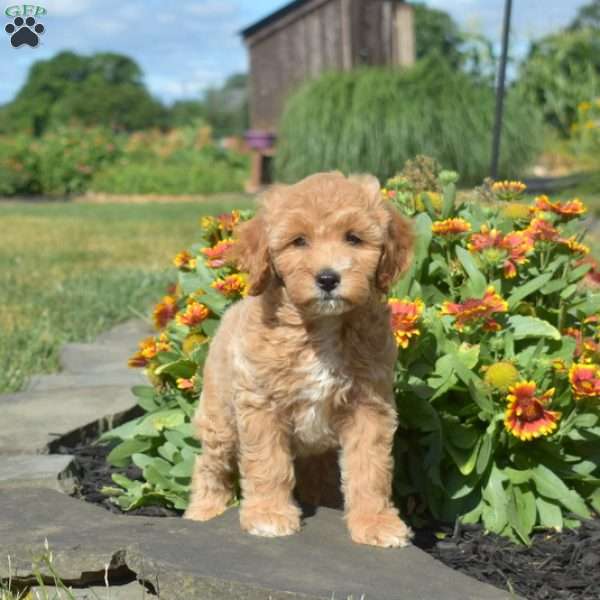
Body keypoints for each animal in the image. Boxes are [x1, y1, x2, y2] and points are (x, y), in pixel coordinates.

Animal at [185, 170, 414, 548]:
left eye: (353, 238)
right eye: (298, 241)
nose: (328, 278)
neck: (320, 329)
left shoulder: (369, 407)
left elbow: (370, 468)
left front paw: (375, 522)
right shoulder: (262, 404)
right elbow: (267, 463)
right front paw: (269, 515)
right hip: (220, 418)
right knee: (209, 465)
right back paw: (203, 512)